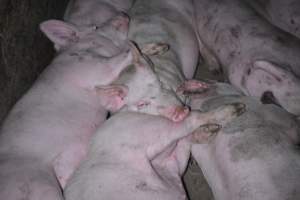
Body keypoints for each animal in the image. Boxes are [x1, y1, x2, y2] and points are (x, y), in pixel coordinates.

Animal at [0, 14, 133, 200]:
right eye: (96, 27)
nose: (123, 15)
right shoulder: (83, 66)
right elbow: (109, 65)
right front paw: (133, 49)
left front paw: (121, 94)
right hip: (36, 182)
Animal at [63, 103, 244, 200]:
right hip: (162, 154)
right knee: (188, 127)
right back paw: (221, 122)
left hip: (150, 132)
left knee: (189, 123)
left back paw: (229, 114)